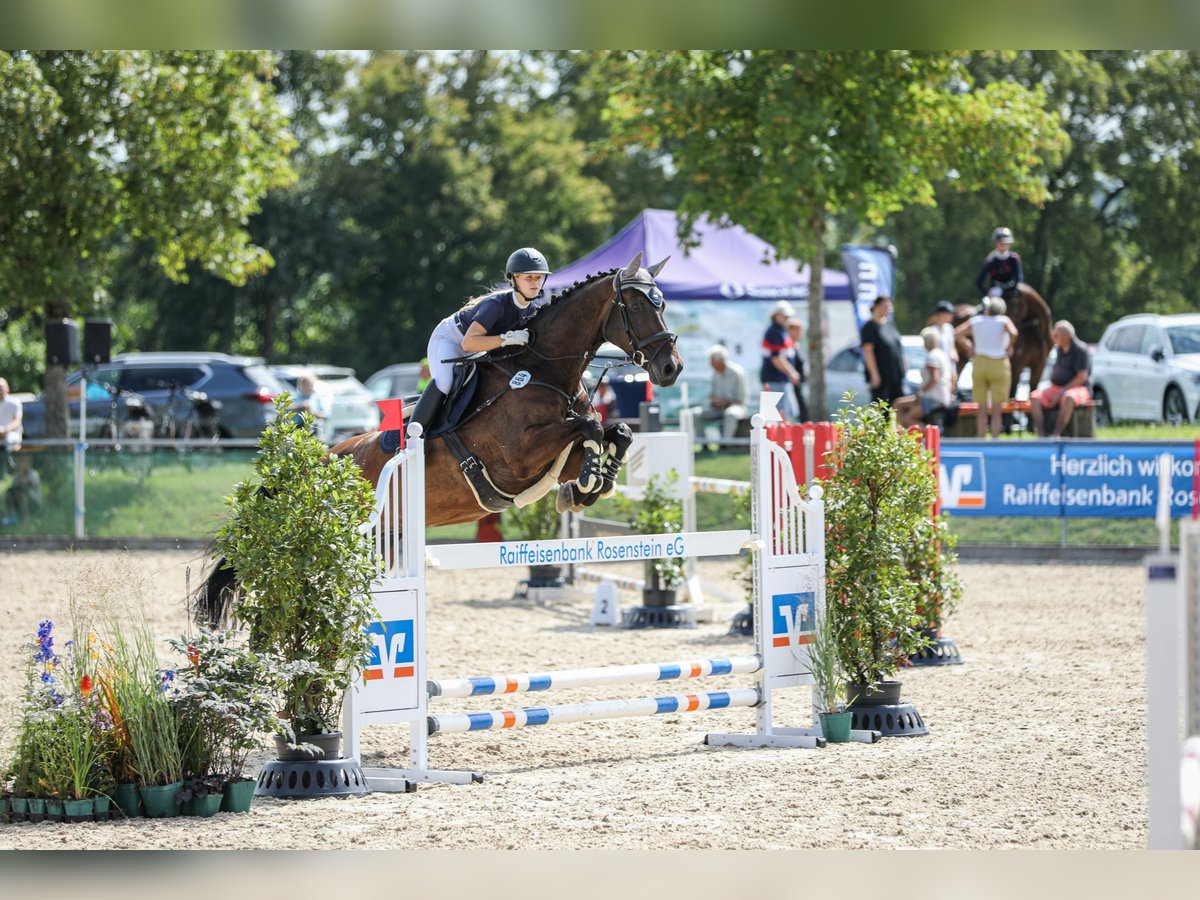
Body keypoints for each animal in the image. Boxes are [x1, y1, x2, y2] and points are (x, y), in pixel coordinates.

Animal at [198, 250, 686, 624]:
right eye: (637, 307)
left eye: (663, 305)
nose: (671, 368)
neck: (544, 371)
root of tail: (312, 464)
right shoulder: (517, 458)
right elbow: (589, 428)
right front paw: (587, 483)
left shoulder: (552, 461)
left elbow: (615, 431)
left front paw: (591, 486)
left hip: (385, 537)